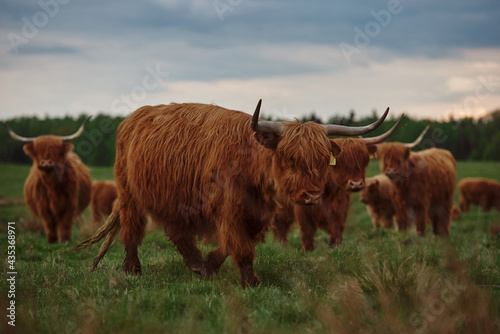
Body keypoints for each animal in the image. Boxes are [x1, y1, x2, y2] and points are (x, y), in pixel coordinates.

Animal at [272, 116, 400, 249]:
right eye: (340, 162)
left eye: (364, 160)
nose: (356, 184)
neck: (329, 191)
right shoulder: (303, 208)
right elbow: (307, 235)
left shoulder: (341, 209)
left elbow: (337, 232)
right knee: (280, 228)